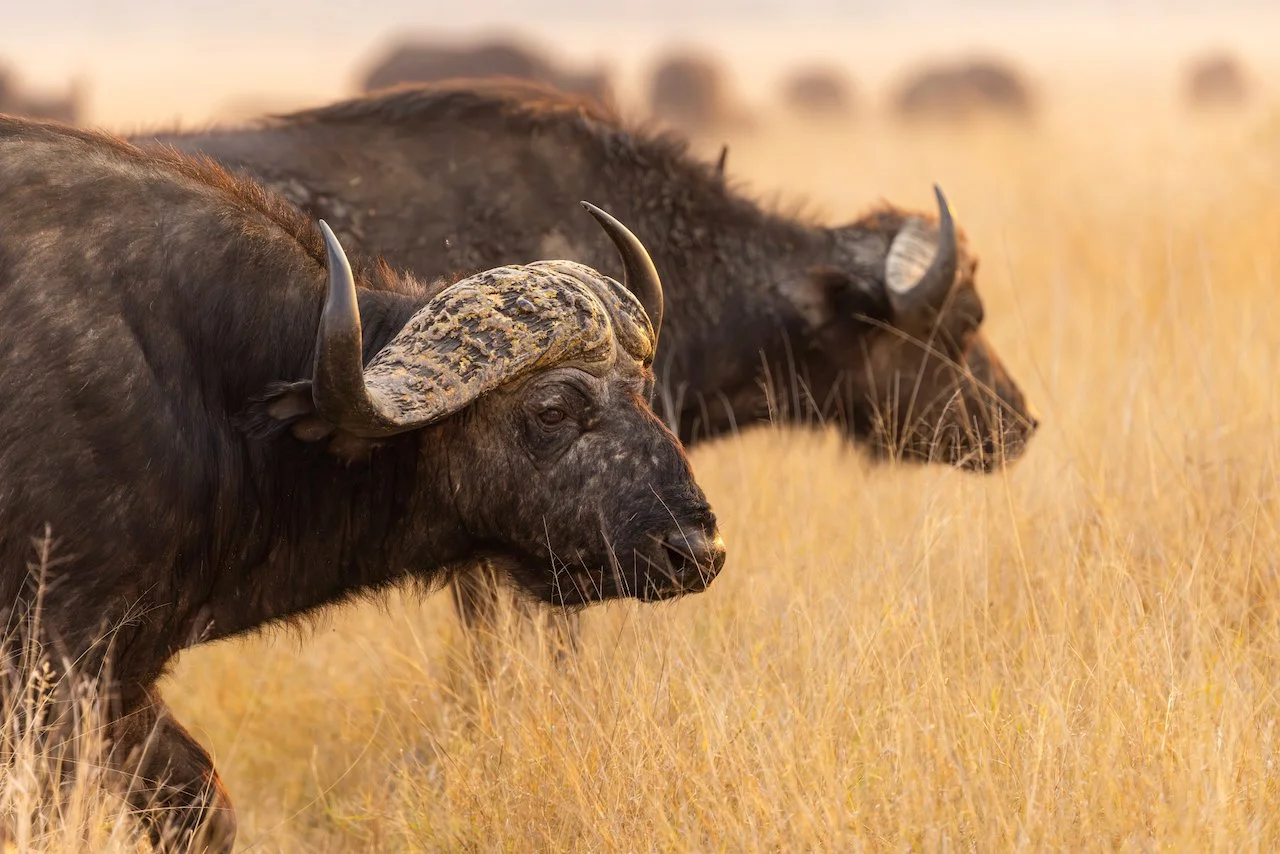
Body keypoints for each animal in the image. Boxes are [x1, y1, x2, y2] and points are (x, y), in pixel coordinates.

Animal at [0, 116, 724, 850]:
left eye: (642, 392)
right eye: (552, 411)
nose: (696, 549)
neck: (211, 386)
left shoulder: (124, 675)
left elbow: (204, 806)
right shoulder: (54, 659)